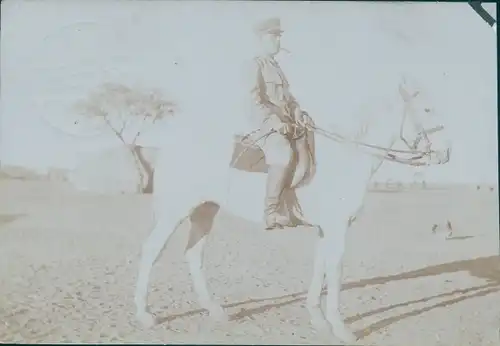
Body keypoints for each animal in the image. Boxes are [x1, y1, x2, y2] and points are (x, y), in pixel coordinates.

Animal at [132, 75, 450, 344]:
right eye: (427, 109)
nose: (445, 154)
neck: (346, 156)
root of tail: (171, 147)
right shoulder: (337, 228)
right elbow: (335, 271)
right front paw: (341, 328)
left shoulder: (326, 228)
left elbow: (320, 267)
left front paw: (318, 320)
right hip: (174, 211)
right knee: (151, 251)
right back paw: (145, 315)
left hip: (205, 211)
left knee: (194, 254)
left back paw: (215, 310)